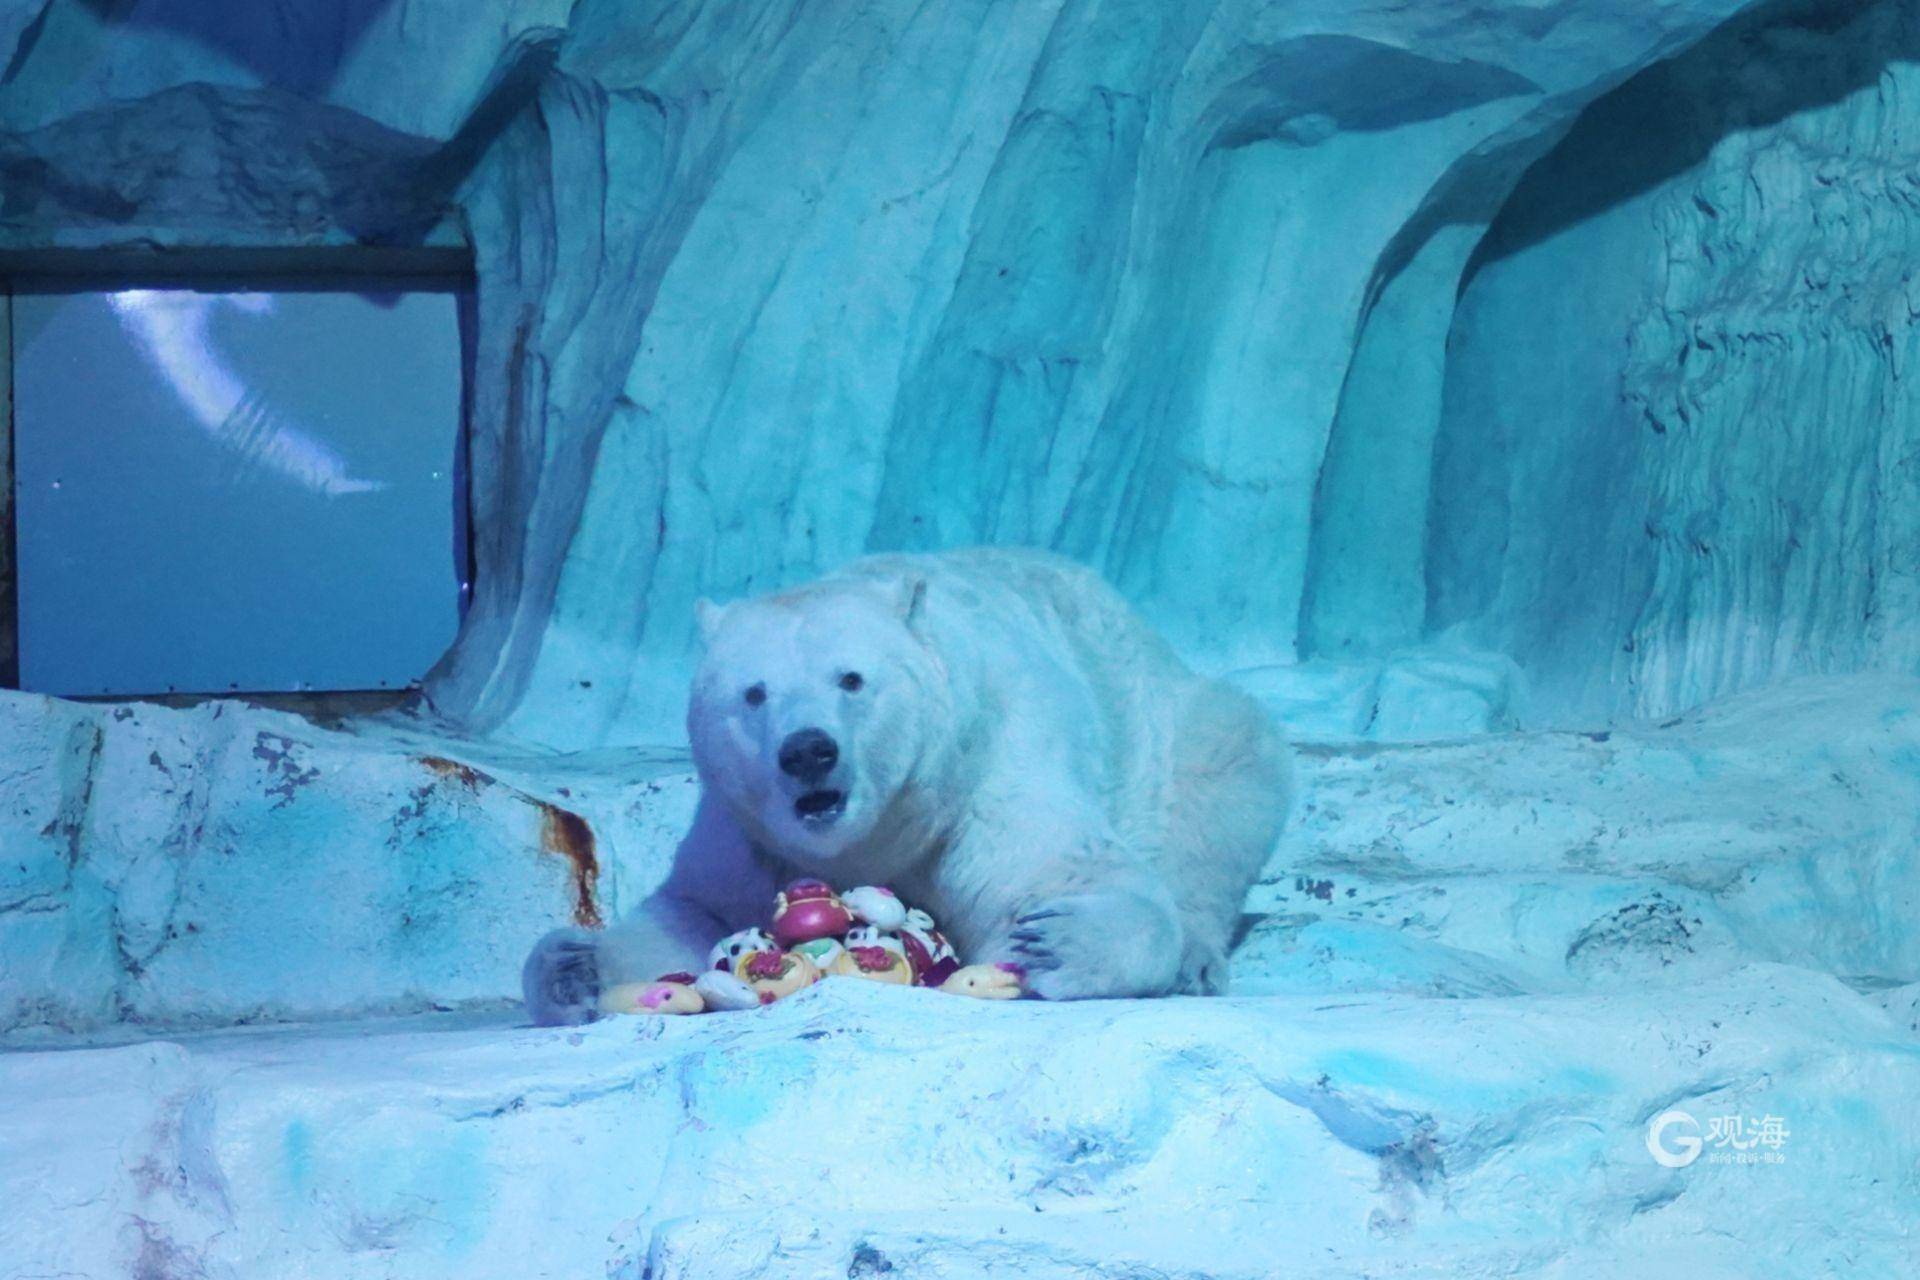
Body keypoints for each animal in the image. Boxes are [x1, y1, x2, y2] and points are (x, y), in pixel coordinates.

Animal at [522, 545, 1290, 1028]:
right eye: (753, 693)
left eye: (851, 678)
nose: (808, 752)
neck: (882, 836)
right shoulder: (748, 834)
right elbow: (693, 912)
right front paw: (571, 968)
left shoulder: (990, 780)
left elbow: (1067, 871)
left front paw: (1053, 943)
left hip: (1173, 730)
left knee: (1223, 783)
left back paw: (1195, 957)